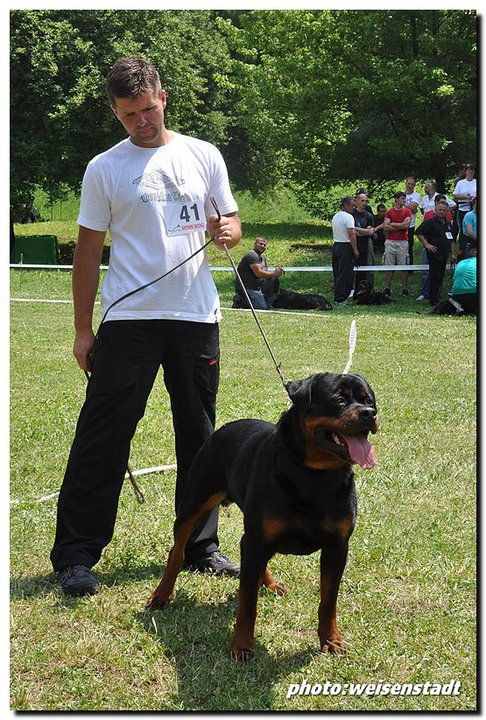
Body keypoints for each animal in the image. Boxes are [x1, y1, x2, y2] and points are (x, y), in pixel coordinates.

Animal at [146, 374, 378, 660]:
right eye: (339, 400)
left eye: (369, 400)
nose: (369, 413)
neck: (315, 474)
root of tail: (221, 430)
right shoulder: (257, 540)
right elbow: (247, 604)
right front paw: (242, 646)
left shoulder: (337, 546)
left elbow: (328, 601)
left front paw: (331, 640)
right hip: (195, 501)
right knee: (177, 551)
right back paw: (162, 594)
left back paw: (268, 583)